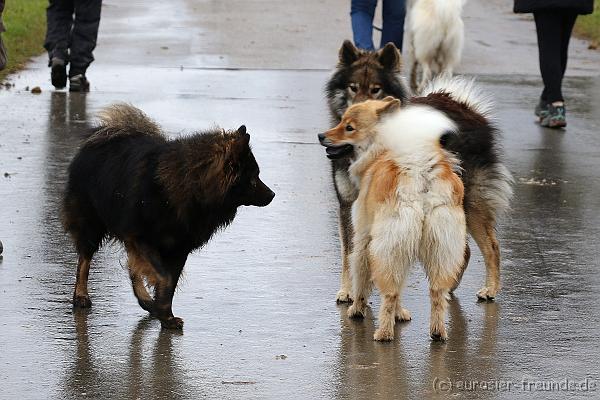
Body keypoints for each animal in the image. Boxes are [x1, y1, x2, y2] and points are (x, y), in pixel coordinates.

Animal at [62, 104, 274, 330]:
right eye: (253, 179)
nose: (272, 194)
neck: (191, 187)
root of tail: (99, 136)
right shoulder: (141, 237)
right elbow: (163, 277)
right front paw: (162, 308)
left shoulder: (178, 247)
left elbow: (168, 282)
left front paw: (165, 314)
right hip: (91, 221)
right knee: (85, 259)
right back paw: (81, 295)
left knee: (131, 266)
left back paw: (145, 300)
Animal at [318, 97, 468, 340]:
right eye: (341, 121)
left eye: (349, 127)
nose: (321, 135)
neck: (379, 152)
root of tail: (420, 174)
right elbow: (400, 286)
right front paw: (401, 314)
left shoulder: (364, 238)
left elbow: (360, 274)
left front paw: (357, 308)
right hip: (439, 249)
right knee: (436, 293)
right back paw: (437, 332)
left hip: (390, 245)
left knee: (388, 292)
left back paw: (384, 332)